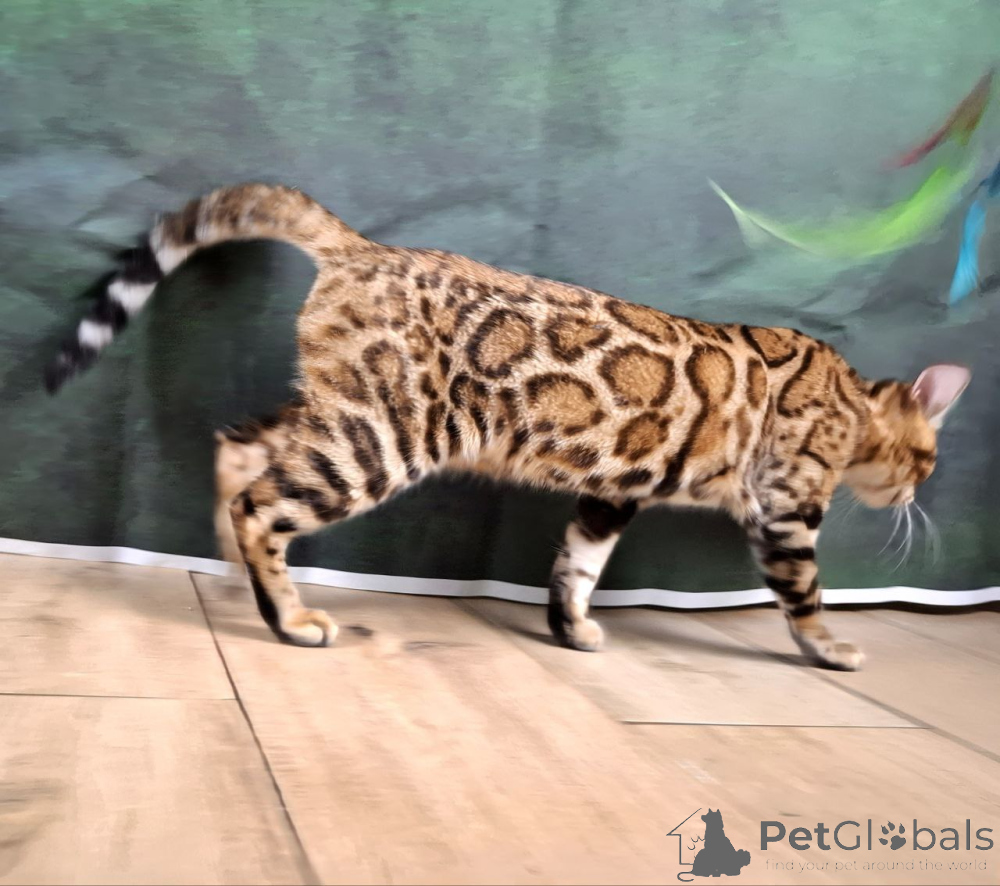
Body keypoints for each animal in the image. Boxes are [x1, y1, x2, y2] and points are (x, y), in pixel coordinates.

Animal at [44, 183, 971, 668]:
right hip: (381, 436)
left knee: (237, 449)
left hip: (339, 410)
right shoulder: (786, 510)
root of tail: (365, 248)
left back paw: (240, 579)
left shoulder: (612, 493)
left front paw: (573, 629)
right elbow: (805, 594)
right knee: (263, 505)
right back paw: (289, 615)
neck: (848, 396)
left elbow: (576, 569)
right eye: (928, 462)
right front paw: (832, 648)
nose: (916, 498)